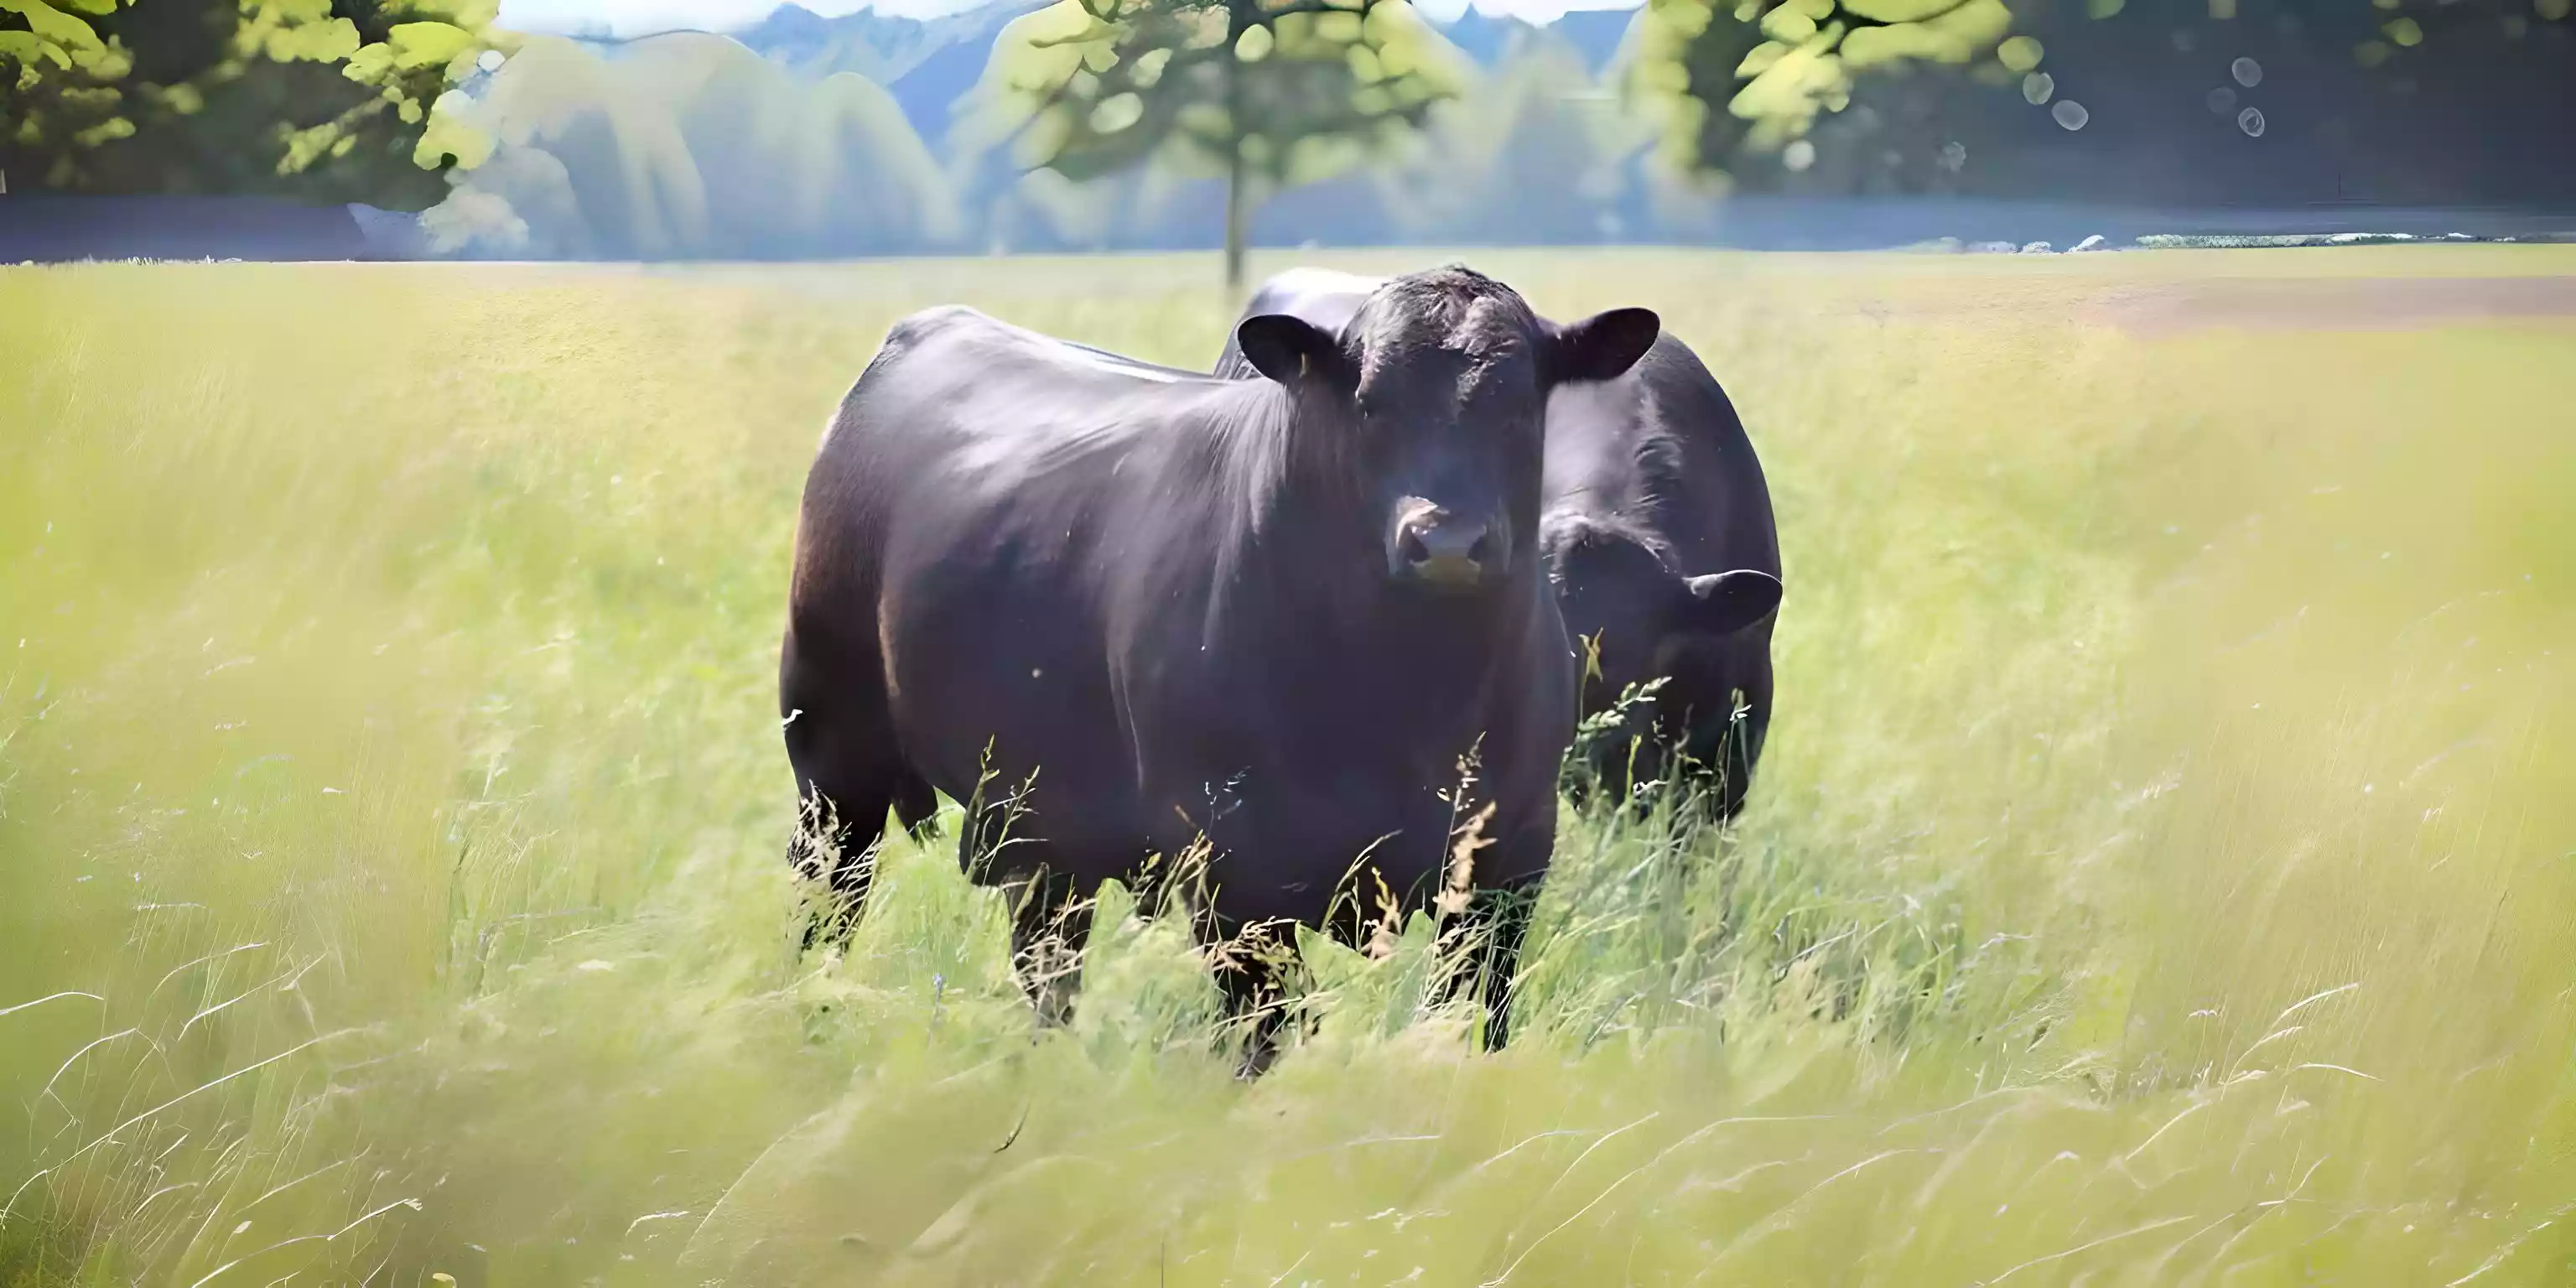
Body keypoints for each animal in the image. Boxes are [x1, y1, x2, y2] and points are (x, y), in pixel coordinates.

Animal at [780, 267, 1664, 1072]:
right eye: (1370, 404)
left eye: (1518, 406)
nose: (1445, 541)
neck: (1409, 697)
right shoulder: (1231, 866)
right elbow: (1265, 1032)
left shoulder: (1506, 860)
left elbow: (1468, 1019)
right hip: (832, 758)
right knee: (827, 899)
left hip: (1040, 822)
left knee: (1048, 960)